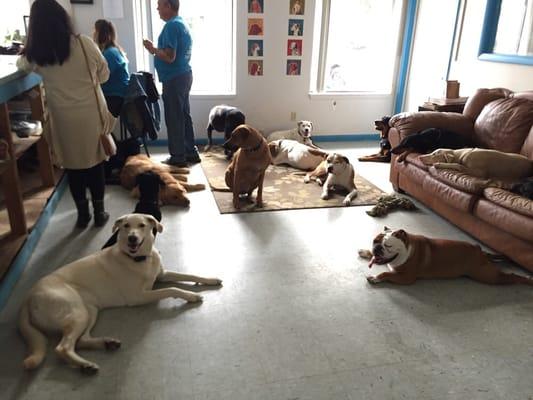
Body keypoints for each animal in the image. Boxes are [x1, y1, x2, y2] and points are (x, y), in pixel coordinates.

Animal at [18, 214, 221, 374]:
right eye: (126, 226)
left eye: (142, 225)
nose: (132, 238)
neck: (139, 259)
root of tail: (27, 297)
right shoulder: (139, 296)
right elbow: (172, 289)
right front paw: (191, 295)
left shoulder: (162, 276)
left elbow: (189, 275)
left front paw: (210, 280)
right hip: (77, 312)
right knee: (63, 347)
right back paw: (85, 365)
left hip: (89, 311)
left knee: (81, 340)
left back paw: (106, 344)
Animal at [358, 227, 532, 286]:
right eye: (375, 241)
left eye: (388, 246)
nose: (377, 249)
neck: (406, 249)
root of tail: (479, 250)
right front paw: (366, 252)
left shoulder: (406, 278)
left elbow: (386, 273)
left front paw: (375, 278)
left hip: (488, 276)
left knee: (511, 277)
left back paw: (527, 280)